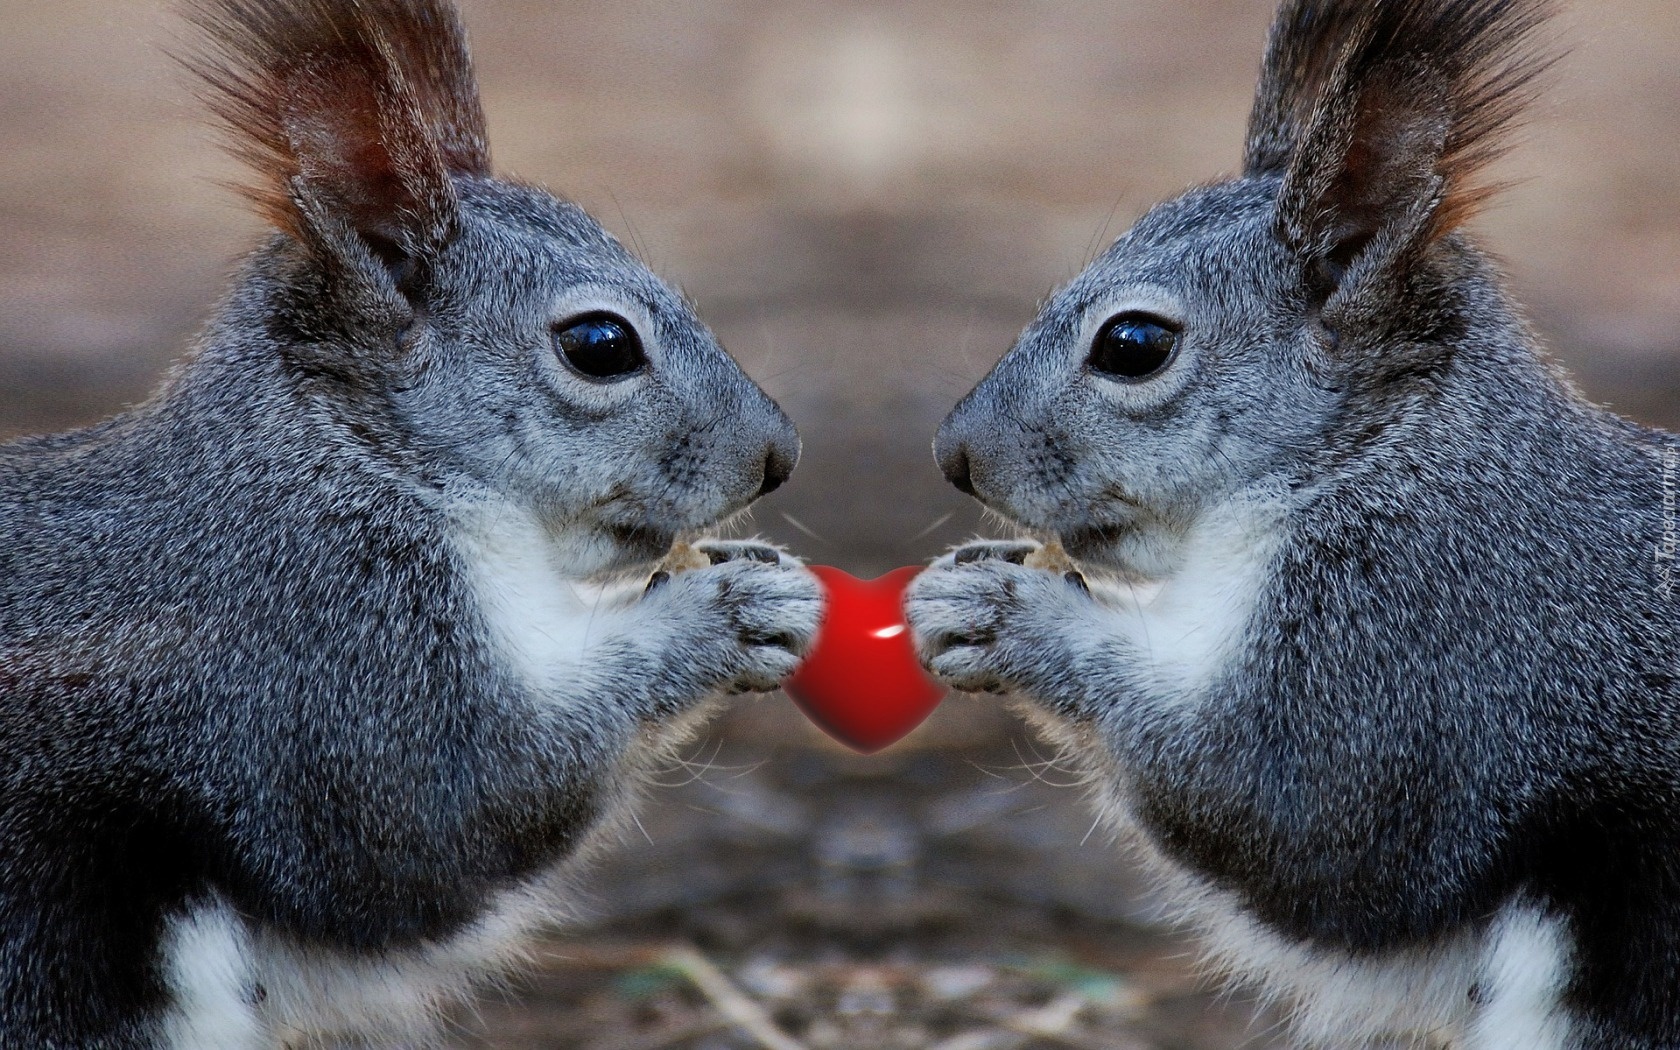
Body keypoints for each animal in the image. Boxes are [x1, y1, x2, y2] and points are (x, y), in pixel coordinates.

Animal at [0, 2, 819, 1048]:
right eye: (599, 345)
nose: (778, 455)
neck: (357, 459)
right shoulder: (323, 650)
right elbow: (451, 811)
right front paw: (728, 612)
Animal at [913, 0, 1680, 1041]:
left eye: (1133, 344)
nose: (955, 455)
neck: (1375, 454)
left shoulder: (1426, 643)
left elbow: (1285, 810)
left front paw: (1006, 616)